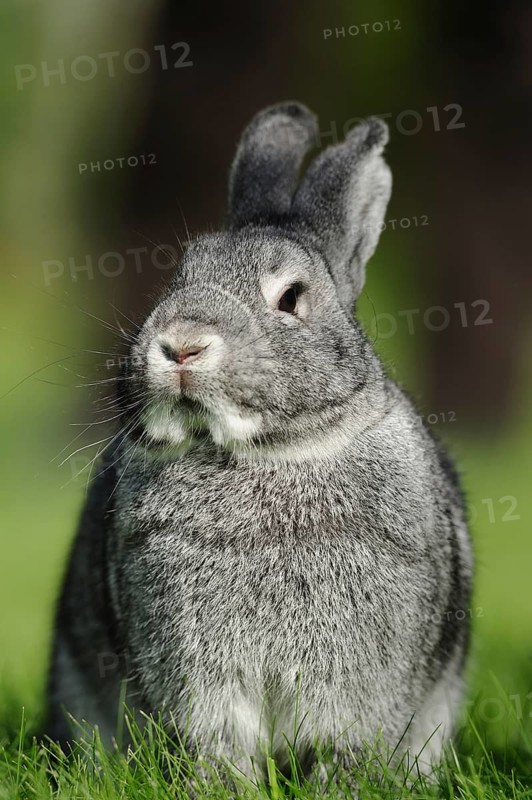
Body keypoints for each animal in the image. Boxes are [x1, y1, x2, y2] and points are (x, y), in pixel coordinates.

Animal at [46, 102, 473, 786]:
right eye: (178, 276)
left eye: (291, 298)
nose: (182, 344)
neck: (266, 450)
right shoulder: (204, 685)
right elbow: (223, 746)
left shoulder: (358, 687)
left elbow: (343, 749)